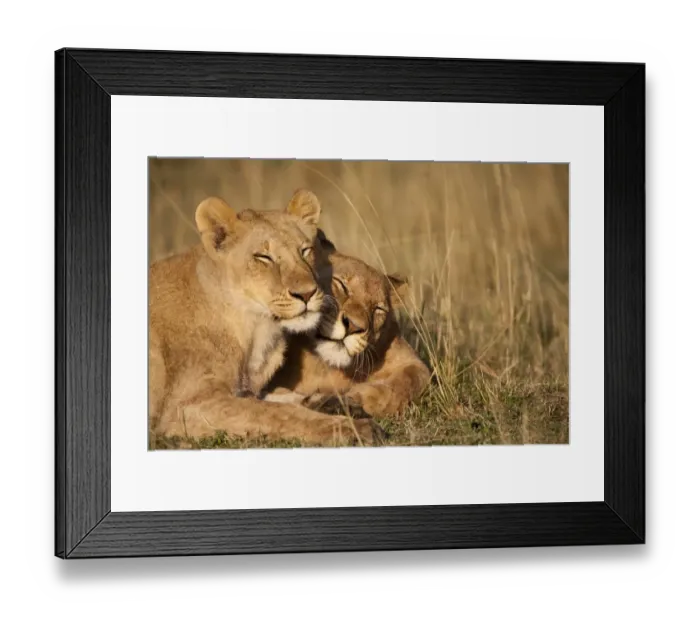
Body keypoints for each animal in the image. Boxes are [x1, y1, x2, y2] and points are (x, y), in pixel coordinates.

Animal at [148, 189, 381, 447]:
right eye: (263, 257)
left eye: (305, 251)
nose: (307, 293)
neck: (257, 328)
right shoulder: (186, 407)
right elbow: (276, 413)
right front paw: (355, 428)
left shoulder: (248, 388)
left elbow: (282, 396)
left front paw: (335, 403)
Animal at [264, 243, 432, 418]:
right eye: (342, 285)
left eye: (378, 309)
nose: (353, 327)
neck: (326, 367)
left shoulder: (409, 359)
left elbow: (411, 380)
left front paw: (355, 399)